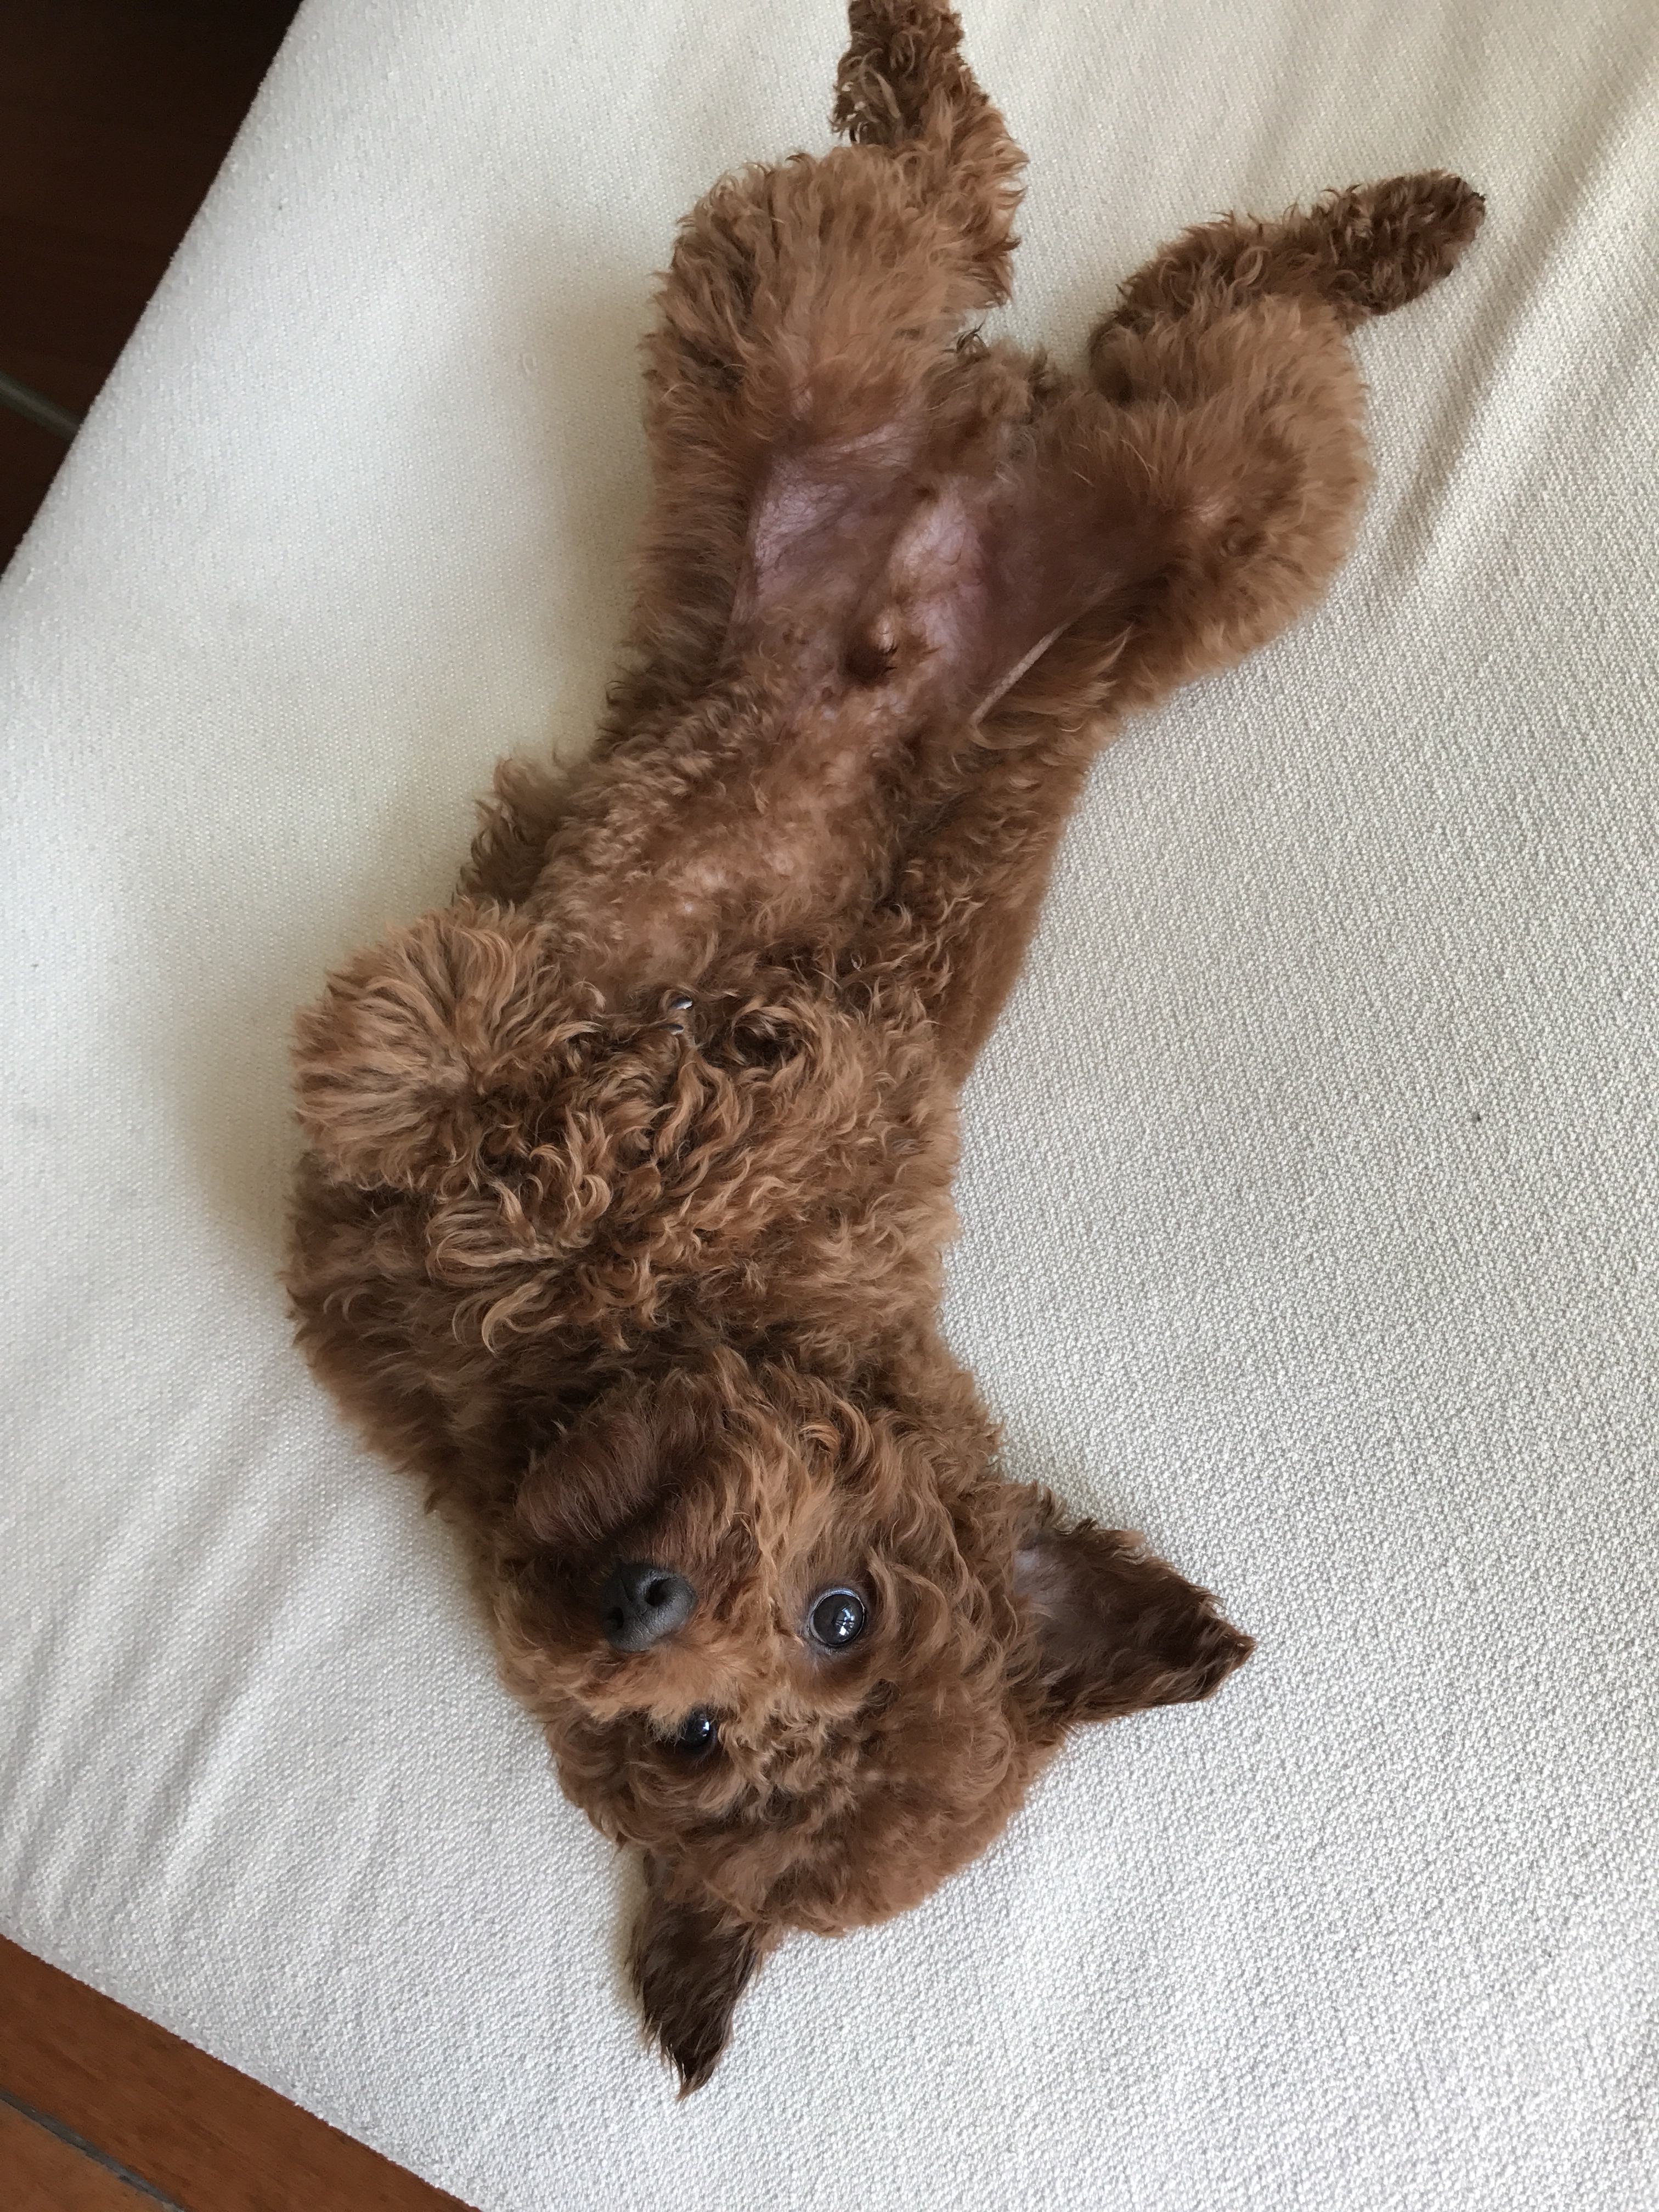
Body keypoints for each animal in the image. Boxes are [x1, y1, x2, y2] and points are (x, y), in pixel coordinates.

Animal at [286, 0, 1483, 2092]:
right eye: (843, 1610)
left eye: (706, 1726)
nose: (642, 1601)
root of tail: (1001, 459)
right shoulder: (799, 1082)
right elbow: (568, 1124)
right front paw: (437, 1031)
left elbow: (511, 1141)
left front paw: (425, 1043)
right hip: (1063, 435)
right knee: (1040, 235)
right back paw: (1348, 204)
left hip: (963, 410)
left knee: (1127, 281)